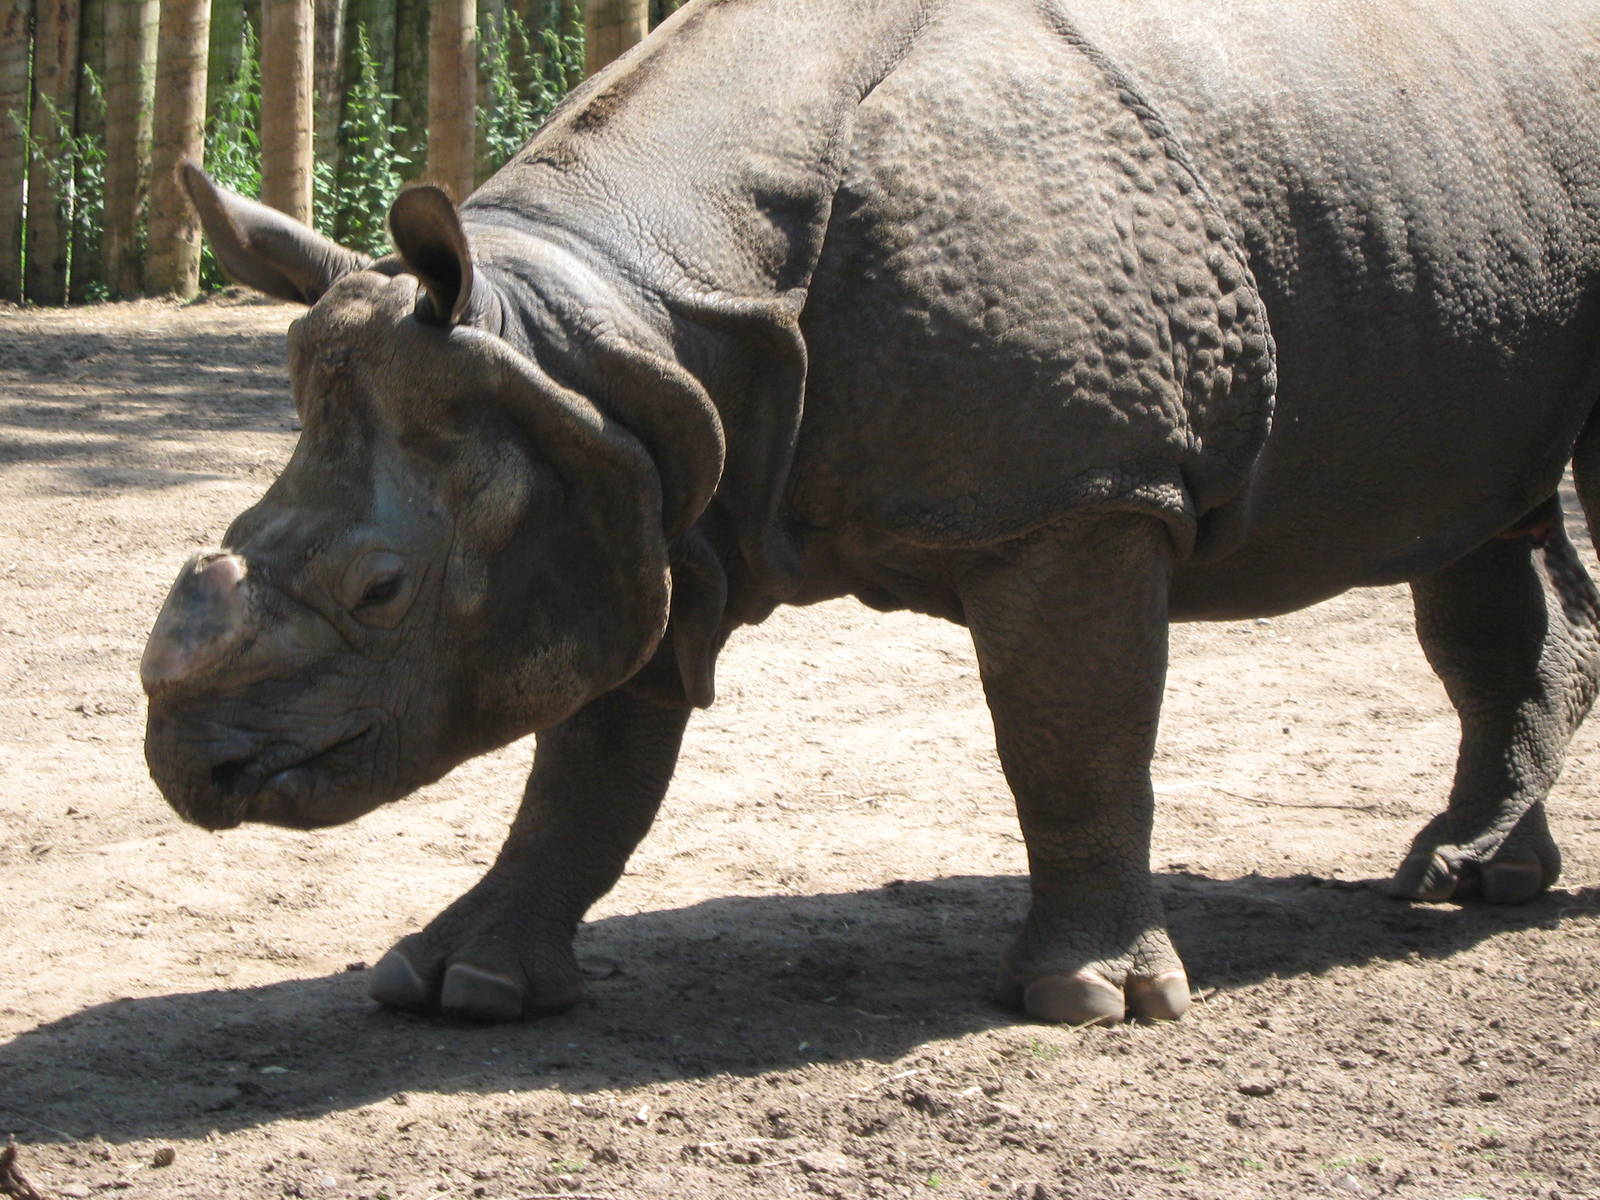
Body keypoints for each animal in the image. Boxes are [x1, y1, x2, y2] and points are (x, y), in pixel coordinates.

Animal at [142, 0, 1600, 1026]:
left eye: (381, 592)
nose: (188, 769)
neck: (615, 316)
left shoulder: (1082, 495)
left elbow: (1073, 737)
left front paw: (1088, 1001)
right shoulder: (624, 472)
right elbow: (593, 762)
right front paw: (461, 985)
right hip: (1462, 180)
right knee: (1480, 529)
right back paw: (1464, 879)